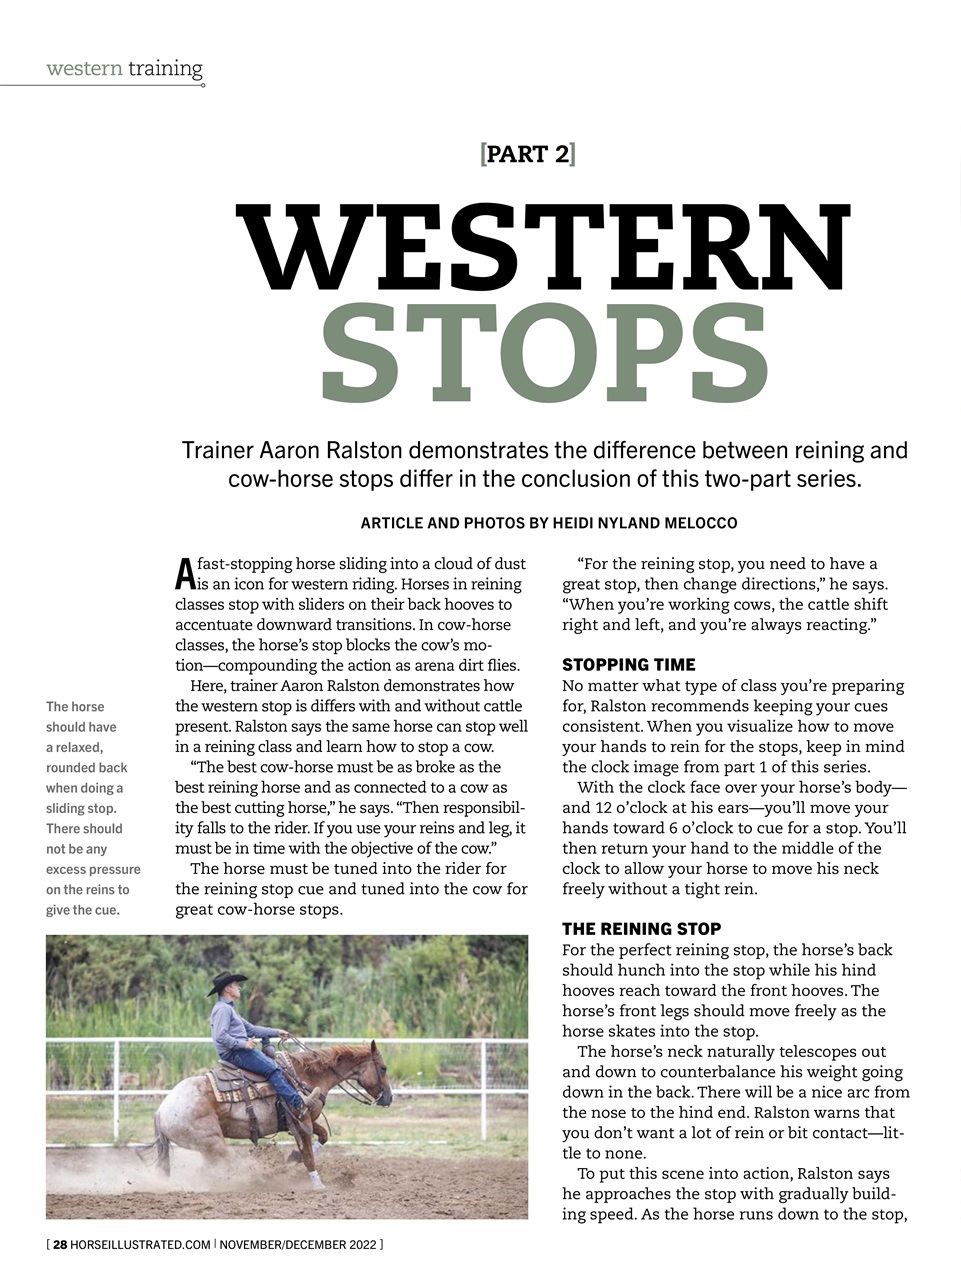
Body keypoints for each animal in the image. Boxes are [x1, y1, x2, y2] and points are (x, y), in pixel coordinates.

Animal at [145, 1040, 392, 1190]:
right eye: (383, 1068)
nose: (389, 1098)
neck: (302, 1075)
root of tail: (161, 1111)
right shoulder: (301, 1121)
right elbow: (309, 1155)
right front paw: (317, 1184)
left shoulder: (308, 1121)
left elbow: (323, 1137)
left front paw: (293, 1157)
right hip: (213, 1142)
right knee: (221, 1165)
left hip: (208, 1147)